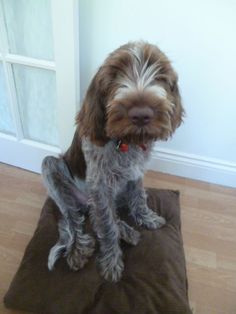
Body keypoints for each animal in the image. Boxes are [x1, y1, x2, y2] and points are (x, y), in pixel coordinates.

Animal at [41, 40, 184, 280]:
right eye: (115, 75)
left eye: (160, 74)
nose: (141, 115)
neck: (126, 143)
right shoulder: (100, 186)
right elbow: (107, 228)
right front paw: (111, 262)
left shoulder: (135, 173)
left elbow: (138, 198)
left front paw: (146, 217)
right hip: (51, 167)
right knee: (73, 220)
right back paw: (78, 249)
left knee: (99, 215)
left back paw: (127, 232)